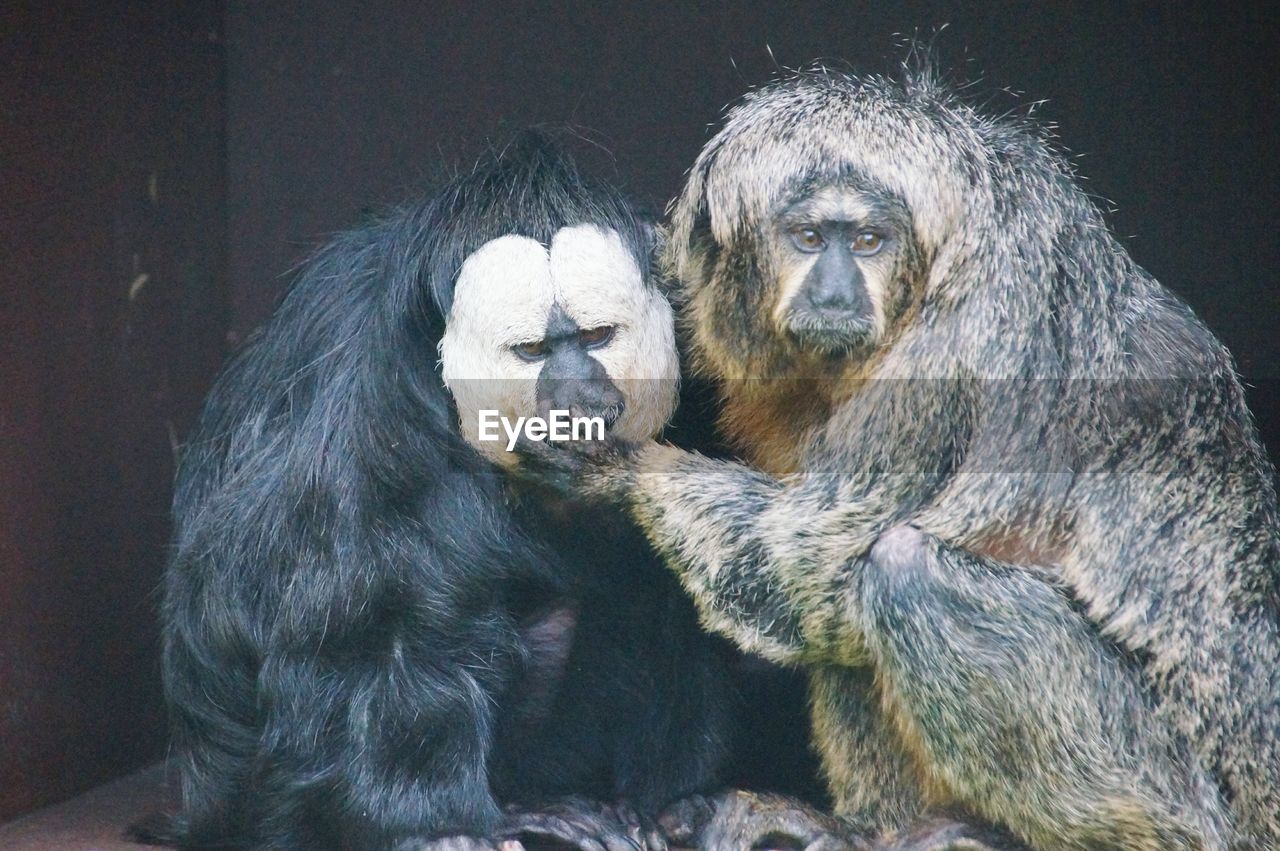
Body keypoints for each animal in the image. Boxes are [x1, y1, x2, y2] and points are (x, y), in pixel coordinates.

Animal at [157, 131, 742, 849]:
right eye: (533, 352)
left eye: (597, 338)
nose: (579, 398)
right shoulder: (368, 402)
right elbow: (373, 623)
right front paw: (441, 824)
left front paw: (667, 799)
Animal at [517, 71, 1280, 849]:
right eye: (809, 238)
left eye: (868, 241)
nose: (834, 291)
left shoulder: (962, 343)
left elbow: (804, 562)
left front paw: (617, 468)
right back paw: (869, 829)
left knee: (899, 573)